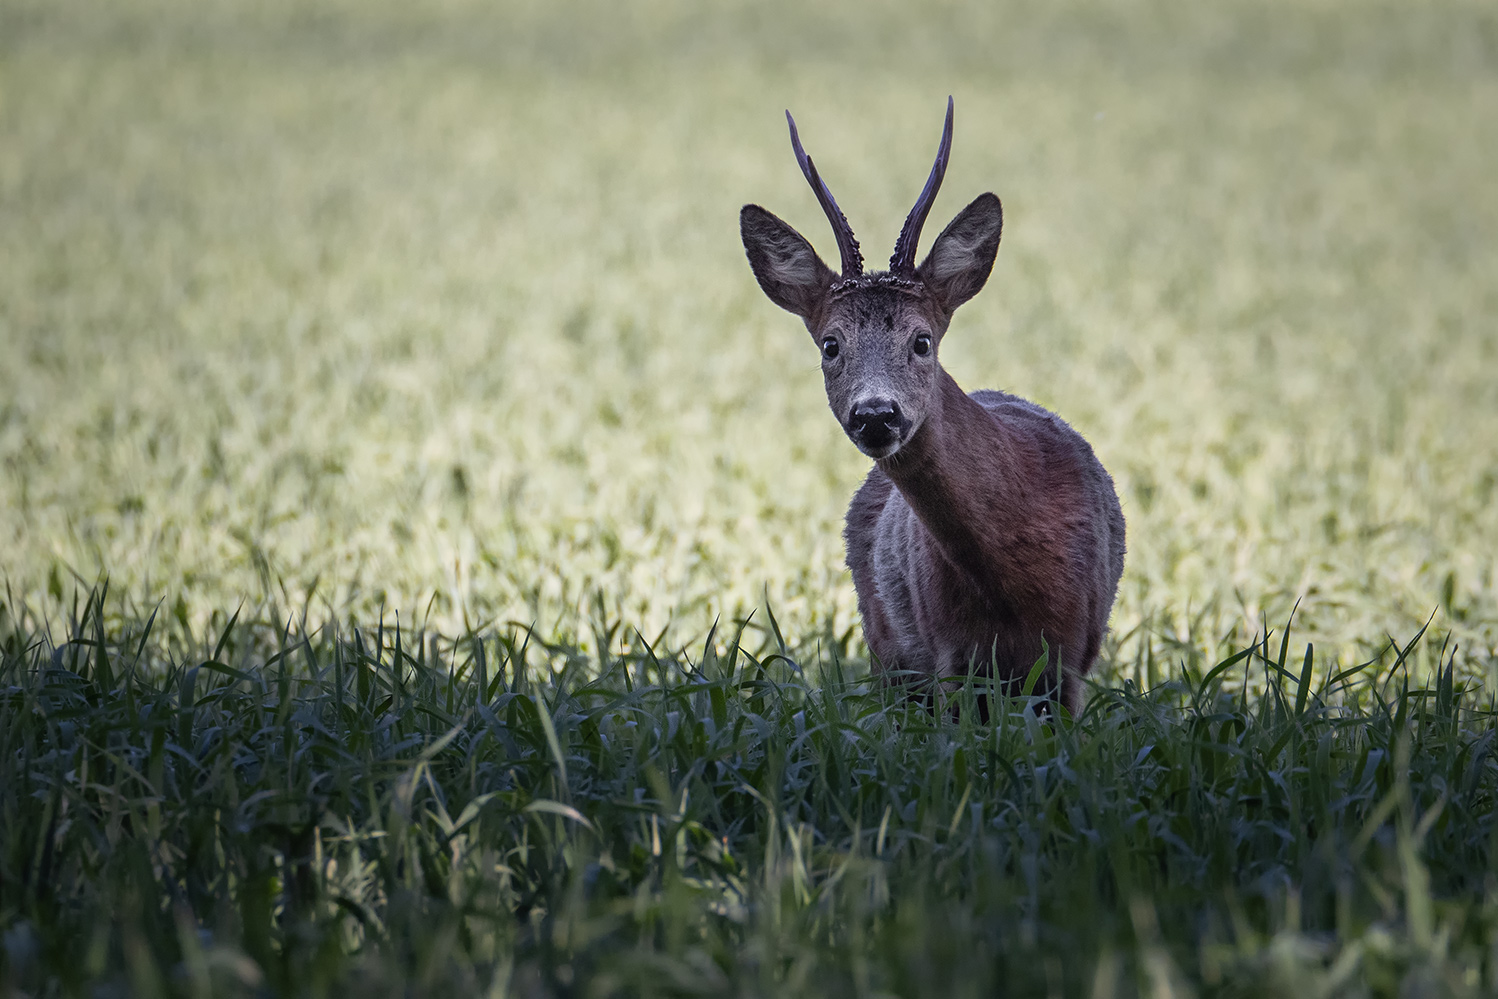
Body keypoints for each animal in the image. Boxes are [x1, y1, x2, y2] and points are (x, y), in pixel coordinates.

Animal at [737, 97, 1126, 715]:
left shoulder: (1072, 654)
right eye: (830, 345)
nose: (876, 414)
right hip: (887, 646)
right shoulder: (947, 654)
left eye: (922, 340)